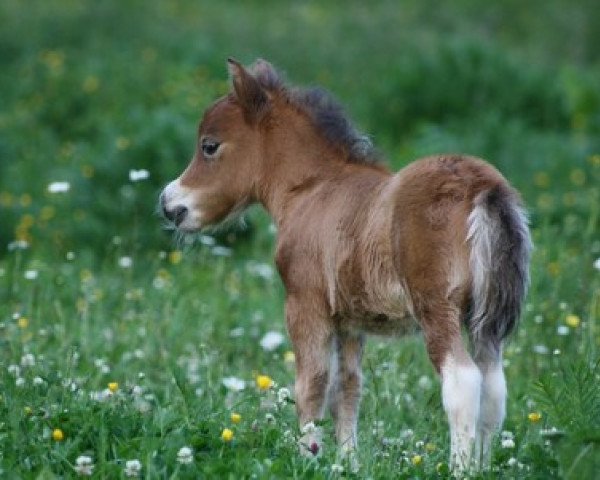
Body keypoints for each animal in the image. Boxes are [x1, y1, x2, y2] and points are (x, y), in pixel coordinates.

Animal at [159, 59, 528, 472]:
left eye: (209, 146)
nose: (169, 205)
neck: (311, 190)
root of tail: (483, 188)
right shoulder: (350, 321)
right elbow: (346, 390)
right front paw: (348, 464)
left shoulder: (305, 305)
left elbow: (311, 385)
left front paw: (306, 459)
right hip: (486, 318)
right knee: (493, 387)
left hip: (437, 307)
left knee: (463, 382)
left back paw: (459, 470)